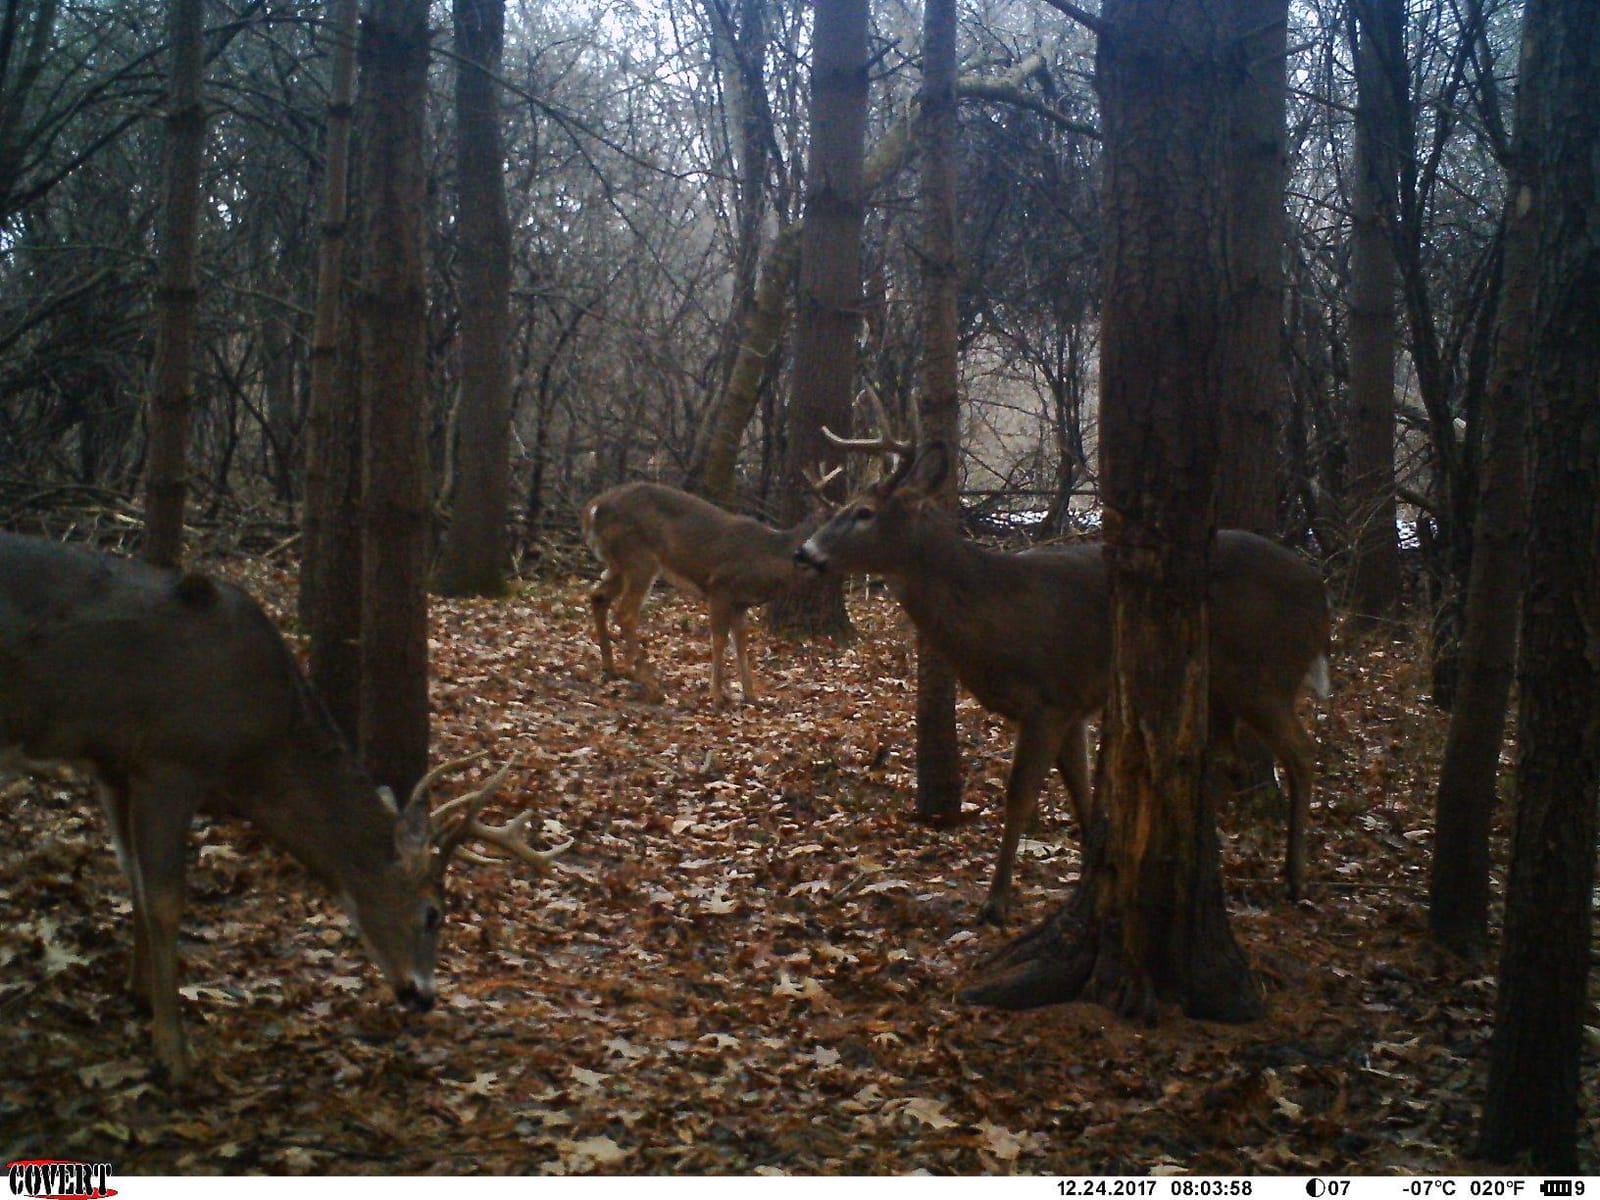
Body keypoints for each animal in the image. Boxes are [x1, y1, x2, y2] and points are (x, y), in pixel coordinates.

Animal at [0, 532, 571, 1082]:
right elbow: (164, 900)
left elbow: (132, 877)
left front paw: (140, 995)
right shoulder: (169, 762)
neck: (258, 739)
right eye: (433, 914)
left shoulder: (113, 765)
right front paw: (173, 1055)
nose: (425, 996)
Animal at [582, 481, 815, 709]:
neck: (770, 556)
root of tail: (594, 508)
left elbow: (740, 641)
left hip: (620, 564)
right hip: (638, 557)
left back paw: (610, 668)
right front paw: (717, 696)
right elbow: (719, 639)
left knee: (598, 595)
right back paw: (652, 687)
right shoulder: (720, 588)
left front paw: (751, 696)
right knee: (626, 613)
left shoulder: (740, 602)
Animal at [794, 441, 1332, 924]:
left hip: (1262, 675)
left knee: (1302, 754)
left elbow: (1020, 795)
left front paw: (995, 903)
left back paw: (1295, 877)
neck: (993, 610)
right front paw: (1097, 875)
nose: (805, 552)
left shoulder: (1046, 699)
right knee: (1234, 761)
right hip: (1224, 689)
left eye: (863, 512)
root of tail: (1320, 596)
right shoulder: (1072, 705)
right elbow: (1082, 793)